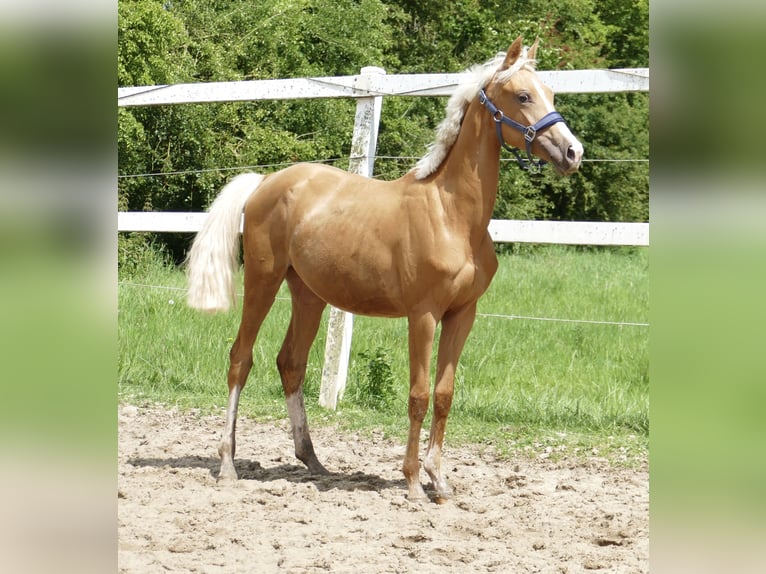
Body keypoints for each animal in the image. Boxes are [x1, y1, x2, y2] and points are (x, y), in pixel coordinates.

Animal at [186, 37, 584, 504]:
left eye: (551, 94)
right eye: (523, 96)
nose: (573, 152)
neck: (452, 215)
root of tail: (265, 182)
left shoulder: (462, 315)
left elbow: (444, 395)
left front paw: (439, 481)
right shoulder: (423, 315)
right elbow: (418, 394)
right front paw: (412, 482)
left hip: (308, 294)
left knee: (291, 363)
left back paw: (314, 461)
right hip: (263, 281)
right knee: (240, 358)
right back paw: (228, 464)